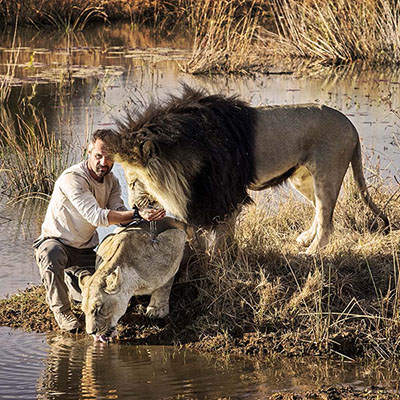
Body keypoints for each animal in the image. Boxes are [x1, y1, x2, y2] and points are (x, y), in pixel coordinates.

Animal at [106, 86, 388, 255]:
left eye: (133, 182)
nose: (134, 208)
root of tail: (351, 125)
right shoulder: (200, 196)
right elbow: (194, 231)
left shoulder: (225, 194)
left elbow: (222, 233)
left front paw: (219, 258)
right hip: (303, 179)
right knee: (319, 213)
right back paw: (306, 238)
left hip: (326, 176)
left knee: (327, 221)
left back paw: (311, 252)